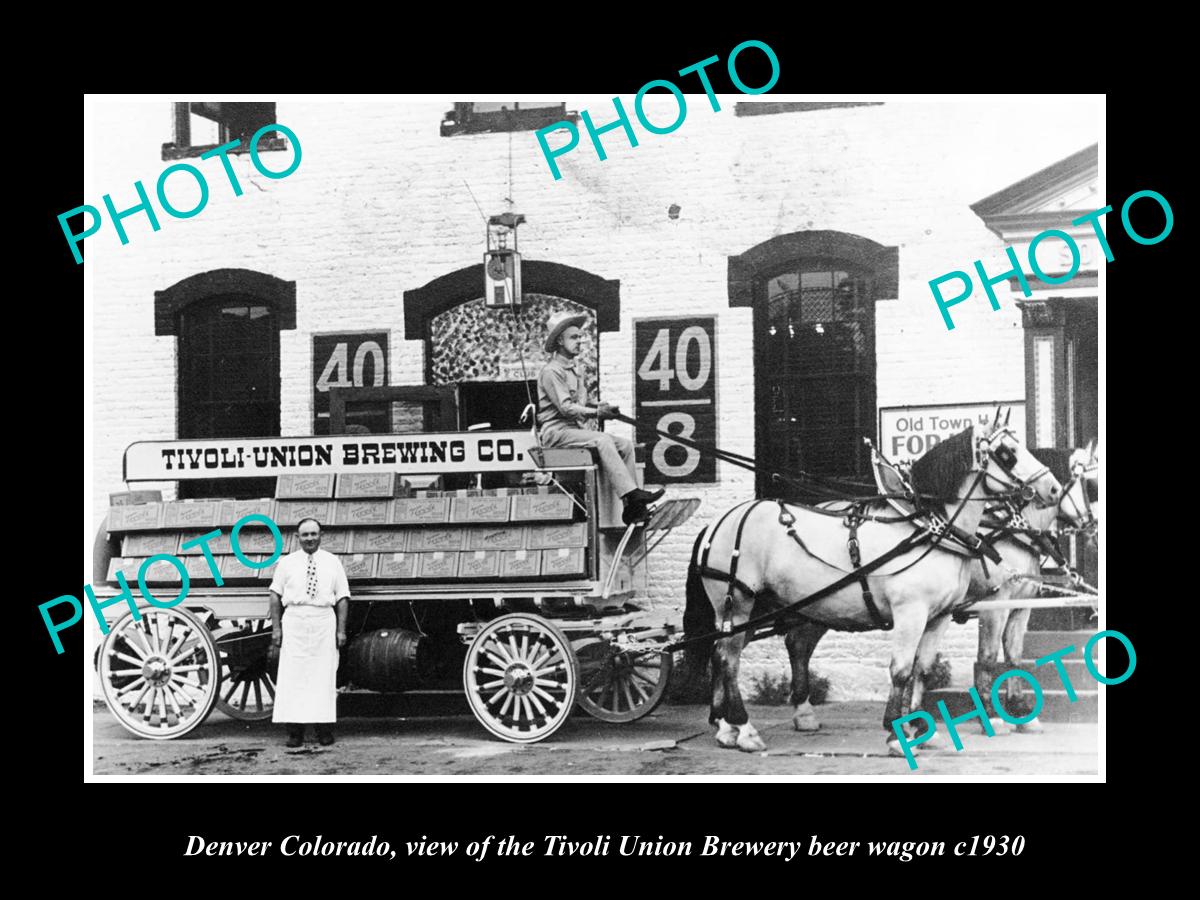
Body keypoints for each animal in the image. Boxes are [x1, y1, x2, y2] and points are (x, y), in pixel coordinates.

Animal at [686, 420, 1060, 758]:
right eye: (1007, 452)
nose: (1053, 489)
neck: (929, 527)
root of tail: (718, 523)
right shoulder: (912, 612)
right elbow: (901, 670)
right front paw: (896, 734)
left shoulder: (938, 616)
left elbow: (922, 669)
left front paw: (919, 729)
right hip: (736, 603)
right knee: (729, 658)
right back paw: (744, 728)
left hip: (757, 608)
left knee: (728, 654)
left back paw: (726, 728)